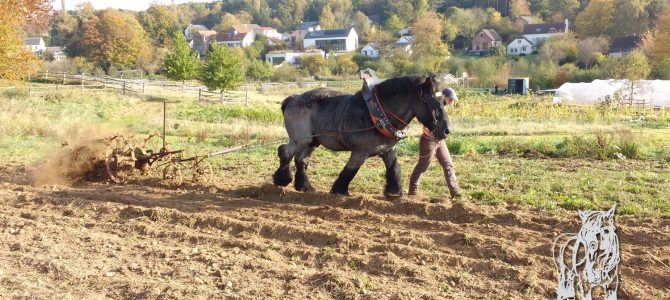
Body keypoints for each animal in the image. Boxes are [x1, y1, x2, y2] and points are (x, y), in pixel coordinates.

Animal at [272, 74, 452, 197]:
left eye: (444, 102)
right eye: (433, 103)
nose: (446, 130)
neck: (379, 112)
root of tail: (293, 98)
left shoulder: (388, 150)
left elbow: (394, 168)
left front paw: (394, 193)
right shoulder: (360, 151)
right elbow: (350, 170)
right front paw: (340, 191)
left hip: (312, 141)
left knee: (301, 160)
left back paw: (305, 187)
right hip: (302, 139)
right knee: (285, 151)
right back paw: (282, 179)